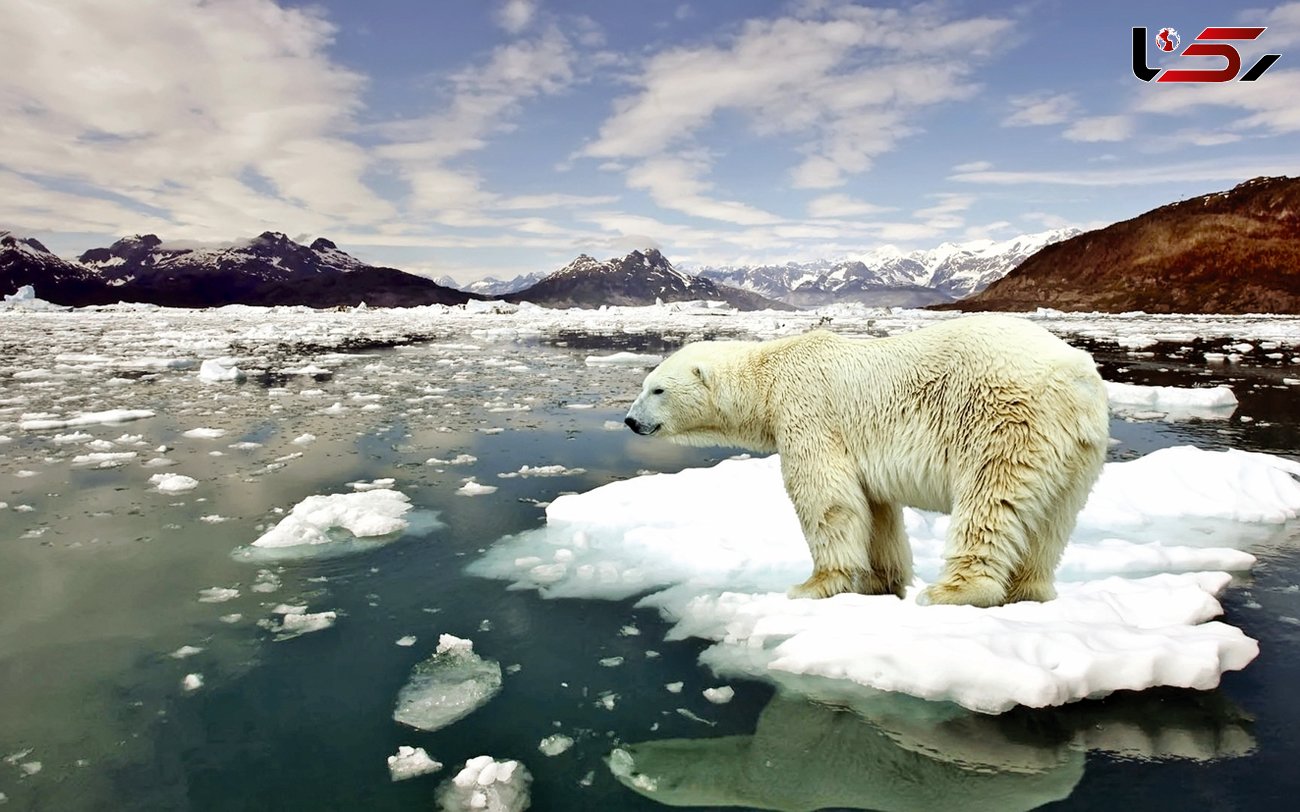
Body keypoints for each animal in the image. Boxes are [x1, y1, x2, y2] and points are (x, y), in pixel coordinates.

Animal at [624, 313, 1112, 605]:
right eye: (645, 384)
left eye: (657, 389)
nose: (630, 421)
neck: (769, 377)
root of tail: (1076, 377)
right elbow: (875, 510)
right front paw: (882, 581)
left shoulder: (808, 412)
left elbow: (826, 498)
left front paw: (813, 585)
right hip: (1078, 451)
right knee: (1053, 520)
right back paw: (1029, 591)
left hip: (1005, 420)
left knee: (991, 500)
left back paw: (952, 591)